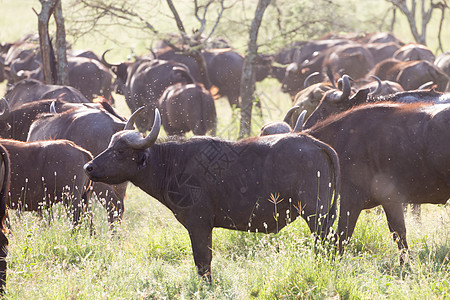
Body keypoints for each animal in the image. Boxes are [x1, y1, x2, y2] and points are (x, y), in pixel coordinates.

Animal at [84, 107, 342, 278]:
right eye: (110, 145)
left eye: (120, 152)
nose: (89, 167)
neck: (173, 165)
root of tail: (316, 144)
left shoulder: (199, 224)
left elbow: (202, 262)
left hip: (316, 216)